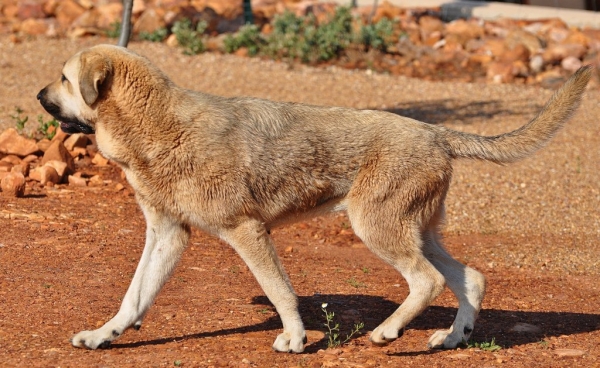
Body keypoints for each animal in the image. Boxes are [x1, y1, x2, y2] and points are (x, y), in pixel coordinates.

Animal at [38, 44, 596, 352]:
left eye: (64, 79)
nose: (40, 96)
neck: (159, 128)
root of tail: (436, 133)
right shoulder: (167, 234)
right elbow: (133, 297)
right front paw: (104, 335)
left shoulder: (247, 231)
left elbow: (281, 291)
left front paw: (294, 339)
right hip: (415, 231)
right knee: (471, 279)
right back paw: (452, 338)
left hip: (379, 230)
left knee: (429, 281)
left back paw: (388, 333)